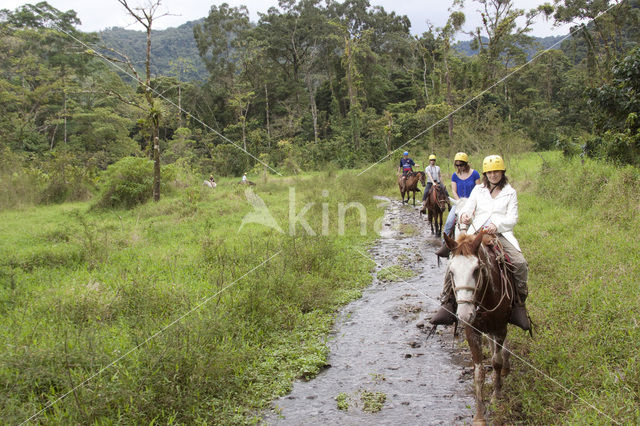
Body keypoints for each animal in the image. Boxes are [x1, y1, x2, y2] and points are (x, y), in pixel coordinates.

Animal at [444, 231, 516, 424]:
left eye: (476, 270)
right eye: (451, 271)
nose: (464, 315)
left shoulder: (500, 328)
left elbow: (496, 362)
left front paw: (496, 396)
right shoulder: (472, 331)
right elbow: (478, 372)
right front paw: (479, 416)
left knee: (501, 351)